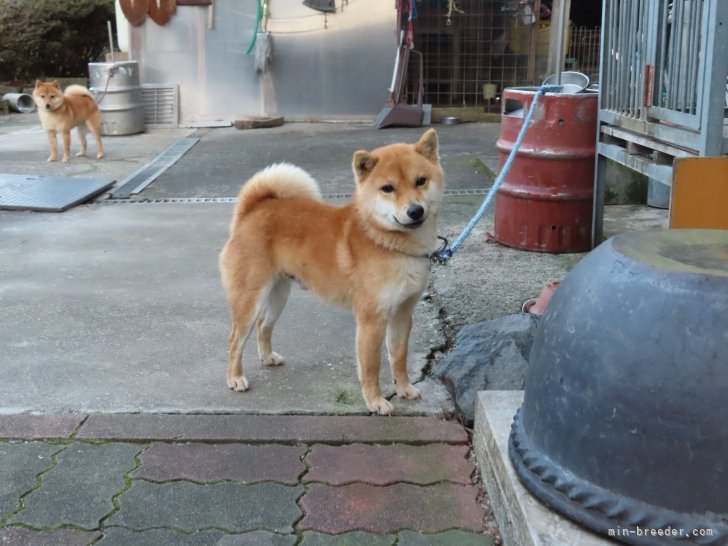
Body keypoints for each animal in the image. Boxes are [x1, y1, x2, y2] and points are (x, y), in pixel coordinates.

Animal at [218, 131, 444, 412]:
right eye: (388, 188)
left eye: (420, 181)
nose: (415, 211)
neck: (387, 241)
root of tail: (252, 210)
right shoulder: (371, 320)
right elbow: (371, 366)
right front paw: (376, 401)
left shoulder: (402, 313)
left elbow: (399, 358)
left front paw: (403, 389)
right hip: (249, 299)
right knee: (235, 340)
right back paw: (235, 378)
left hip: (278, 295)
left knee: (264, 325)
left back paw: (267, 357)